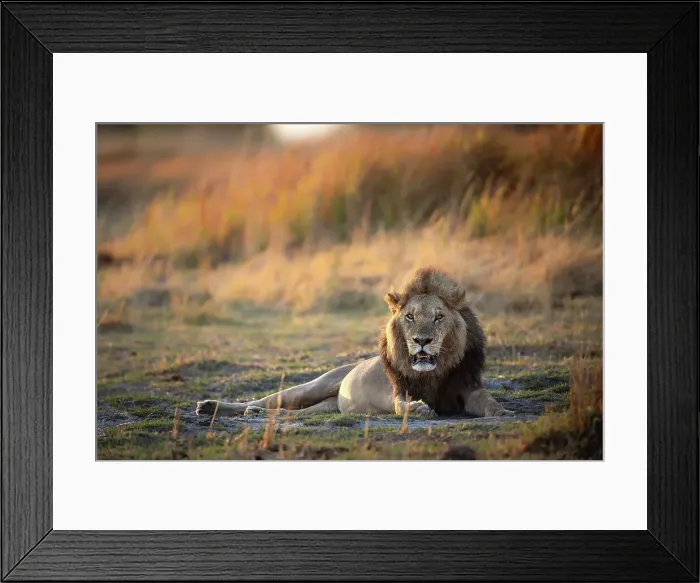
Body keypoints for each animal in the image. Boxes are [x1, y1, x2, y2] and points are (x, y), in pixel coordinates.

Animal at [196, 267, 514, 419]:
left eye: (438, 317)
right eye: (409, 316)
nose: (421, 341)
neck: (433, 373)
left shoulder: (467, 387)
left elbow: (488, 400)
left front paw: (502, 411)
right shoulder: (399, 390)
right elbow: (402, 405)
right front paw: (420, 409)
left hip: (326, 407)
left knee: (291, 412)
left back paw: (254, 414)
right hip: (314, 386)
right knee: (269, 399)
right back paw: (211, 406)